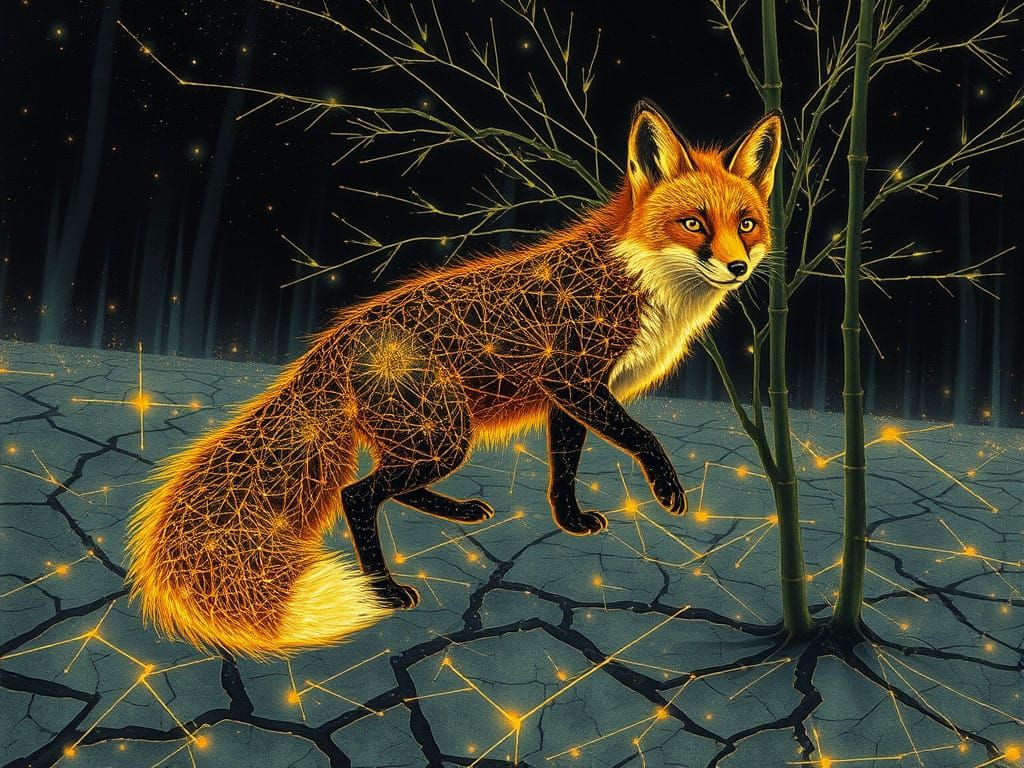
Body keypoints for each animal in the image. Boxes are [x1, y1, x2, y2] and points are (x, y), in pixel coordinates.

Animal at [126, 100, 782, 657]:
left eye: (747, 223)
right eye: (693, 224)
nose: (737, 266)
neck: (644, 281)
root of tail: (330, 345)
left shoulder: (568, 399)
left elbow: (563, 470)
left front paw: (570, 522)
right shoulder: (574, 380)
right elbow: (645, 437)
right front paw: (668, 491)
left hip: (430, 438)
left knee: (390, 487)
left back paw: (458, 512)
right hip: (444, 435)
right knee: (357, 494)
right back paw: (386, 591)